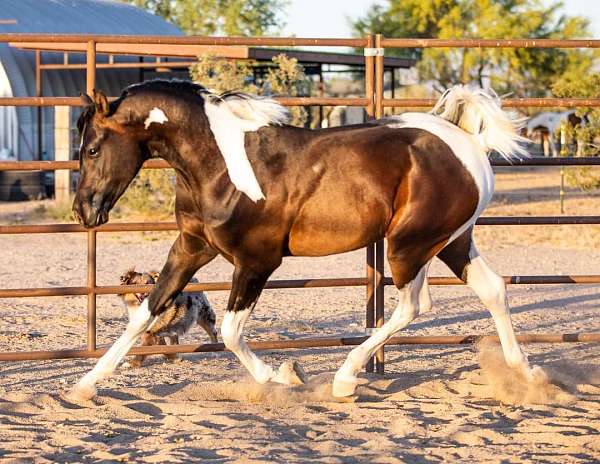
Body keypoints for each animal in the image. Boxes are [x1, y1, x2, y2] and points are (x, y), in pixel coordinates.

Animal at [69, 79, 536, 398]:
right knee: (492, 289)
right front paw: (85, 385)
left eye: (92, 149)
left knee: (414, 305)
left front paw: (283, 375)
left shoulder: (257, 260)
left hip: (409, 244)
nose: (83, 212)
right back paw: (527, 373)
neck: (218, 164)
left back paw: (346, 378)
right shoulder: (190, 248)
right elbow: (145, 313)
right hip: (451, 241)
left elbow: (231, 331)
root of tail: (466, 140)